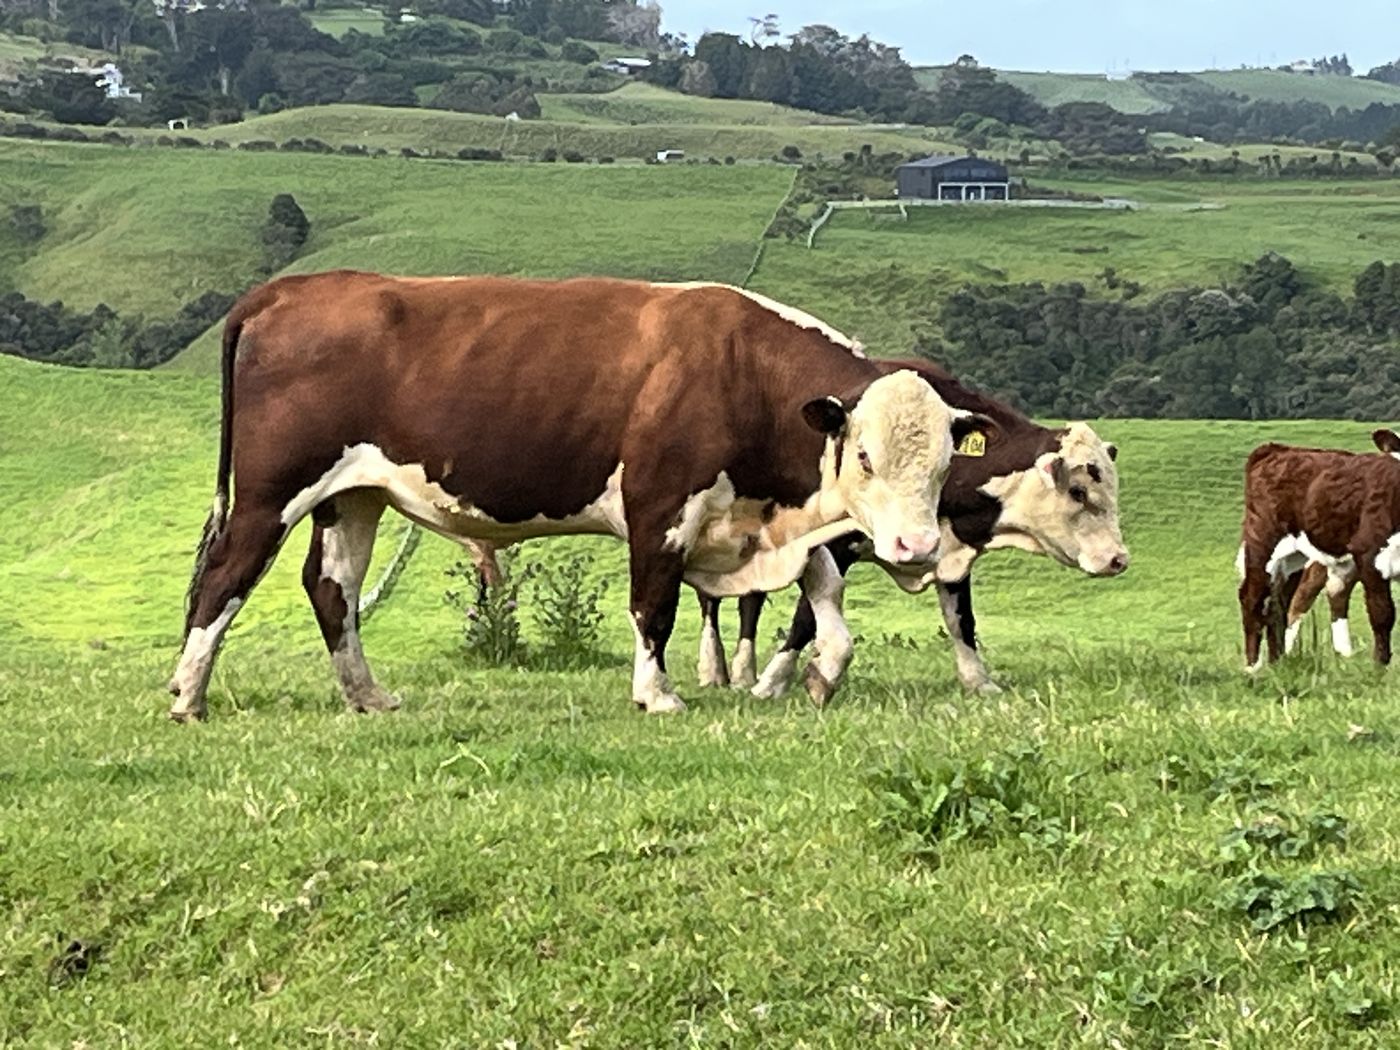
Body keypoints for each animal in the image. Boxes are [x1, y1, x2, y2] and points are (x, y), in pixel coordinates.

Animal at [168, 272, 994, 722]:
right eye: (865, 455)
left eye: (943, 463)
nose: (917, 548)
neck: (741, 373)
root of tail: (298, 286)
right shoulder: (660, 507)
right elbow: (653, 606)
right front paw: (656, 694)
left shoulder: (767, 520)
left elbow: (828, 603)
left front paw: (818, 677)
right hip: (271, 491)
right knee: (224, 578)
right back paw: (187, 695)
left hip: (354, 495)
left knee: (331, 586)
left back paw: (366, 695)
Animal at [690, 358, 1129, 704]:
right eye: (1078, 491)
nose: (1119, 559)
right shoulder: (831, 547)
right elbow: (805, 619)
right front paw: (774, 683)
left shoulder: (948, 551)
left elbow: (961, 620)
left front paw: (979, 682)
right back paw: (719, 671)